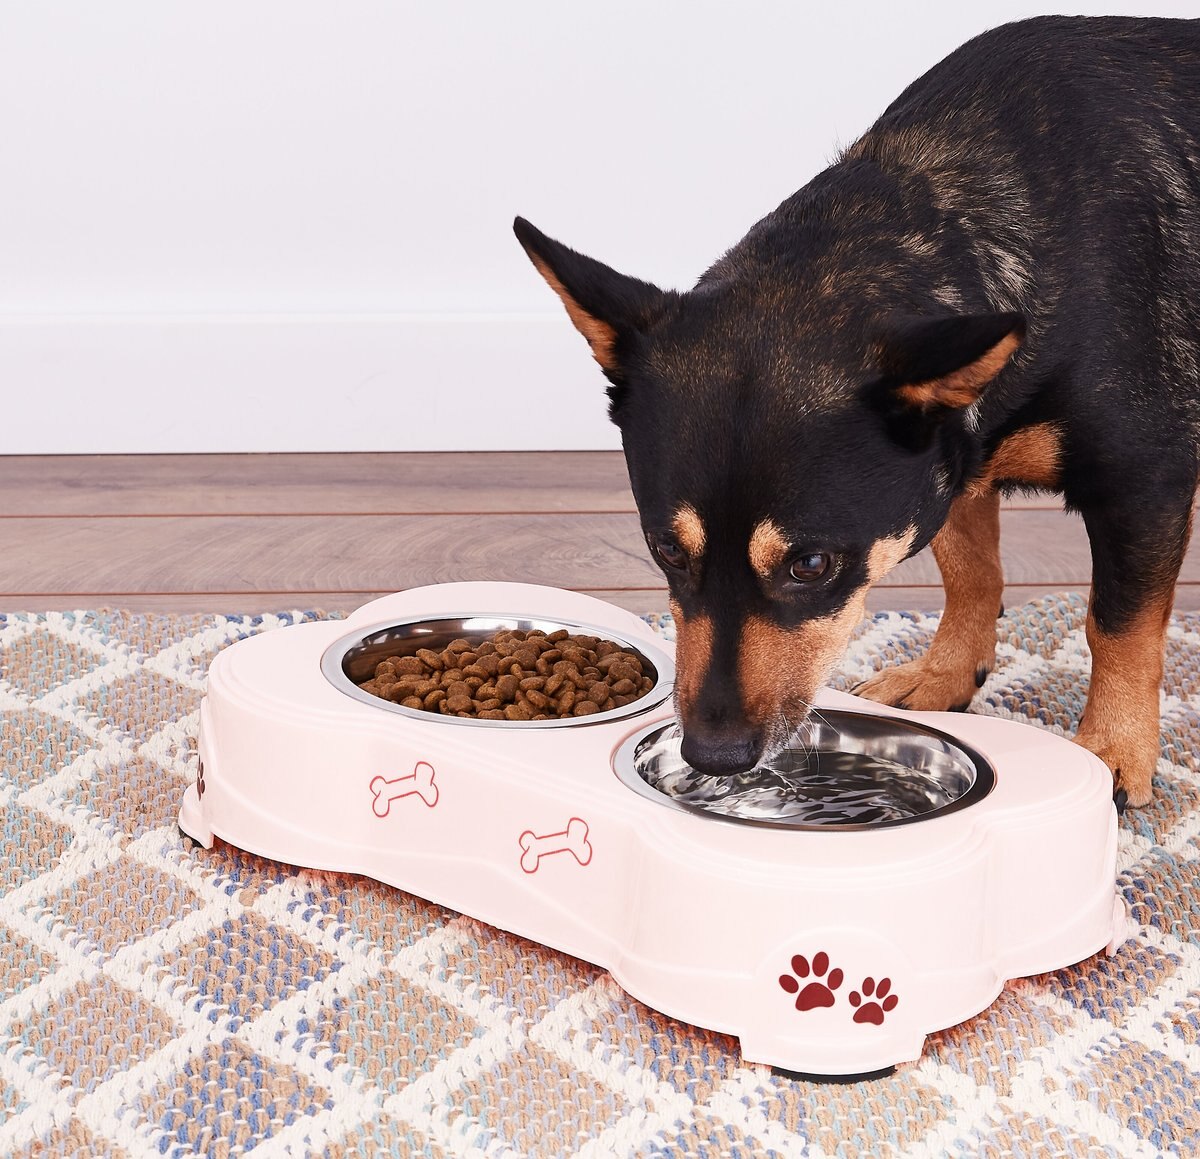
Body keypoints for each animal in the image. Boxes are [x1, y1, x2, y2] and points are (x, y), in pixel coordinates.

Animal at [516, 13, 1200, 806]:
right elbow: (971, 571)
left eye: (811, 565)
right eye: (666, 550)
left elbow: (1118, 624)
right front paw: (944, 674)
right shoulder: (950, 461)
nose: (715, 755)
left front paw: (1112, 752)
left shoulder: (1142, 483)